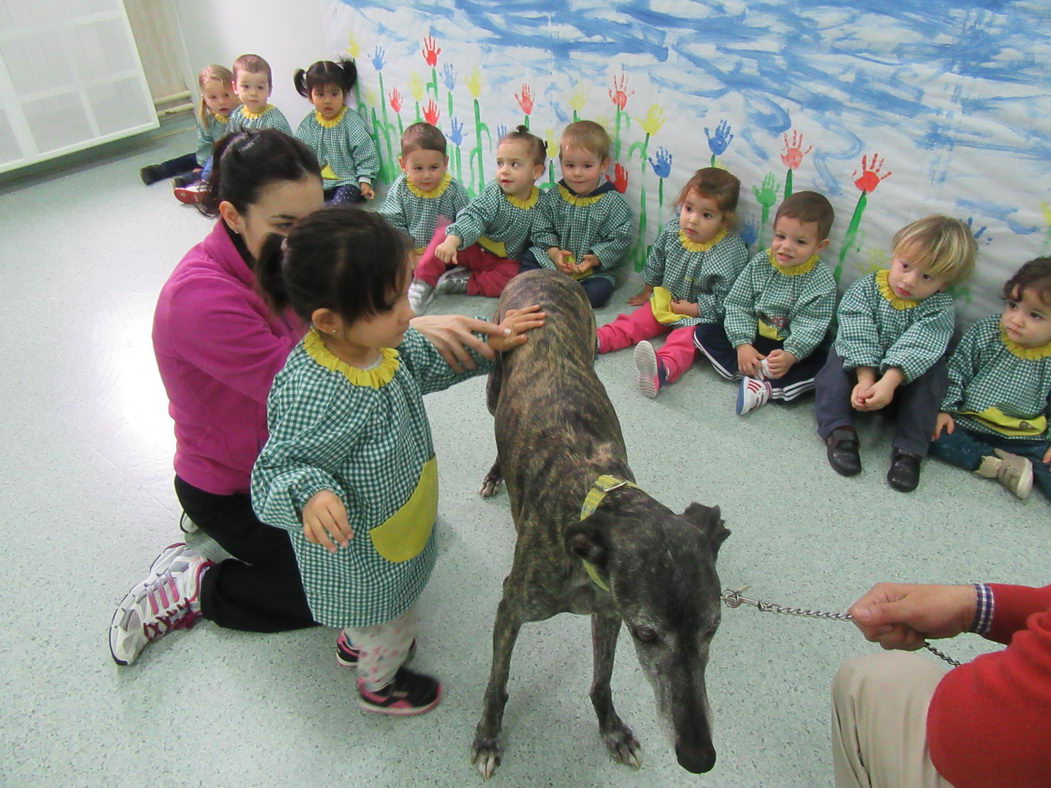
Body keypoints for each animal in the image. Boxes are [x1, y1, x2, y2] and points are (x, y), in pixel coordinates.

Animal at [472, 271, 727, 777]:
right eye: (647, 635)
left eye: (713, 629)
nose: (699, 757)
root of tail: (543, 270)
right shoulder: (512, 606)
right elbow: (498, 680)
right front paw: (488, 736)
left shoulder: (609, 612)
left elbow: (602, 680)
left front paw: (612, 730)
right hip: (494, 383)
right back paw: (495, 474)